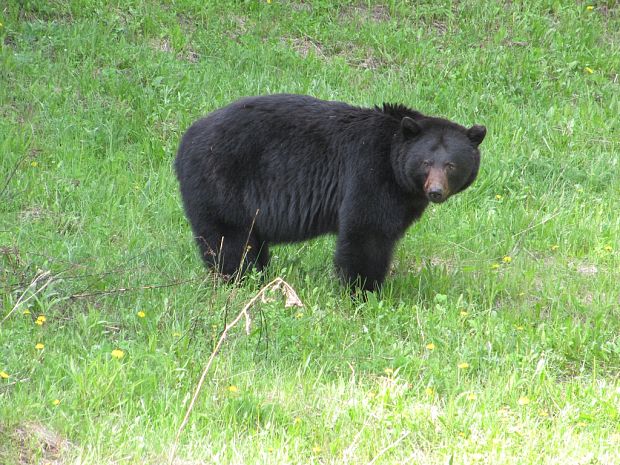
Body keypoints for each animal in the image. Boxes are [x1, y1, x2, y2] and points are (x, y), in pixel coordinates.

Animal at [173, 93, 484, 290]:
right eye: (426, 162)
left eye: (451, 165)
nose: (435, 191)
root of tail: (185, 139)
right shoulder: (369, 173)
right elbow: (366, 231)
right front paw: (363, 289)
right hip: (221, 180)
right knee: (229, 239)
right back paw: (240, 279)